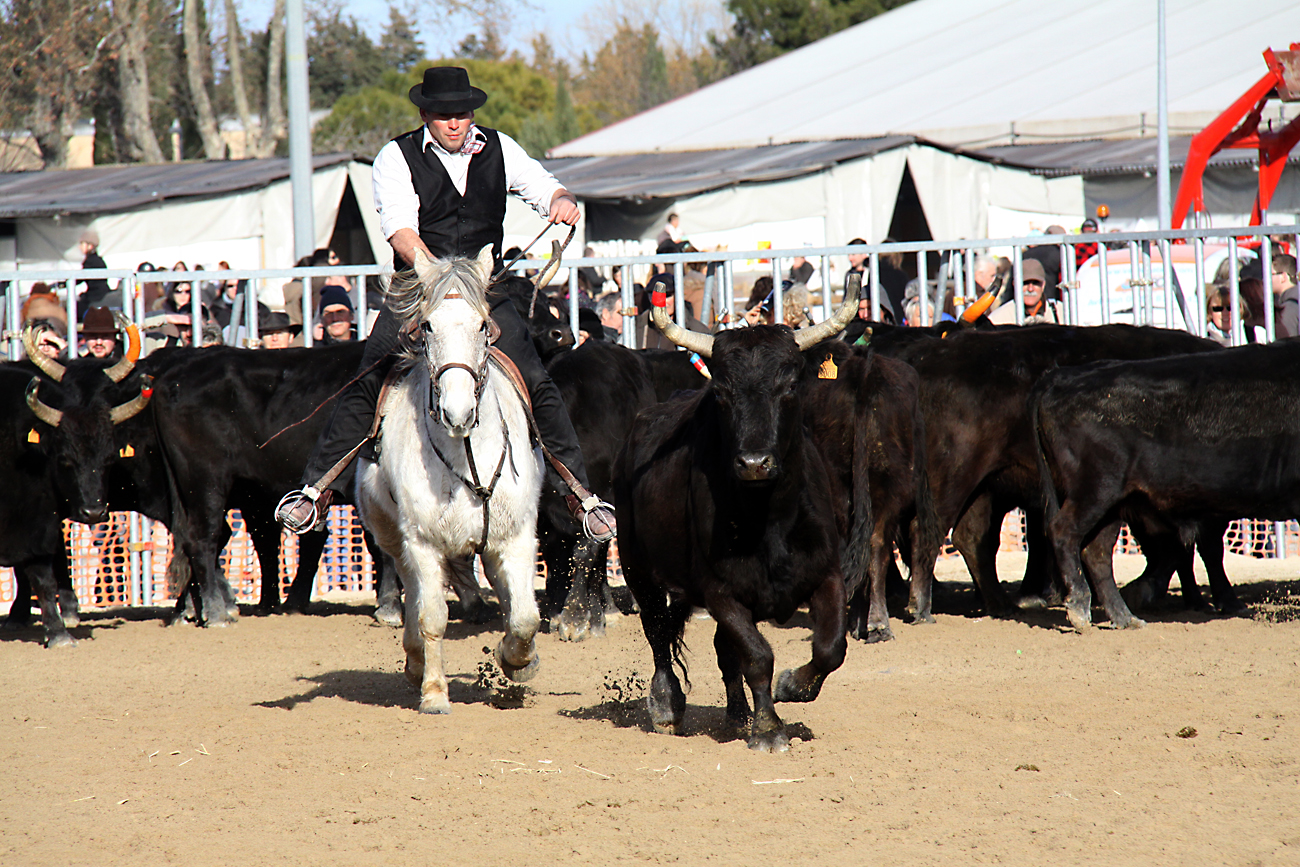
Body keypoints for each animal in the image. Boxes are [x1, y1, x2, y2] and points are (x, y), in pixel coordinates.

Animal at [356, 244, 543, 712]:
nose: (458, 412)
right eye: (427, 325)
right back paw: (415, 661)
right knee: (411, 589)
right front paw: (435, 692)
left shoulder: (517, 535)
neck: (466, 455)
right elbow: (433, 617)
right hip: (394, 537)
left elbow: (525, 616)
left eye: (483, 325)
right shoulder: (423, 542)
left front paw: (517, 660)